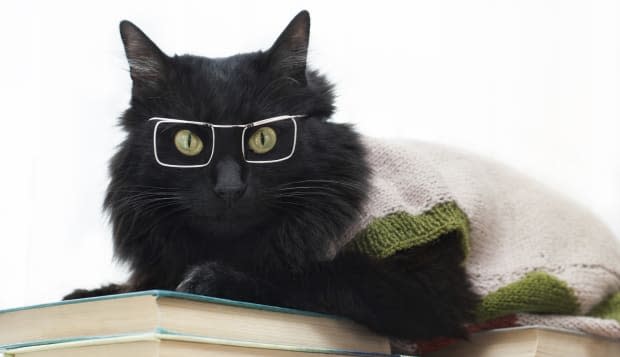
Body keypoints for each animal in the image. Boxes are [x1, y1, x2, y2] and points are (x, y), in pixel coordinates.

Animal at [65, 10, 478, 340]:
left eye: (263, 139)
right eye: (188, 141)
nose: (229, 188)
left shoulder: (430, 287)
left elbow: (315, 274)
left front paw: (212, 278)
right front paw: (92, 295)